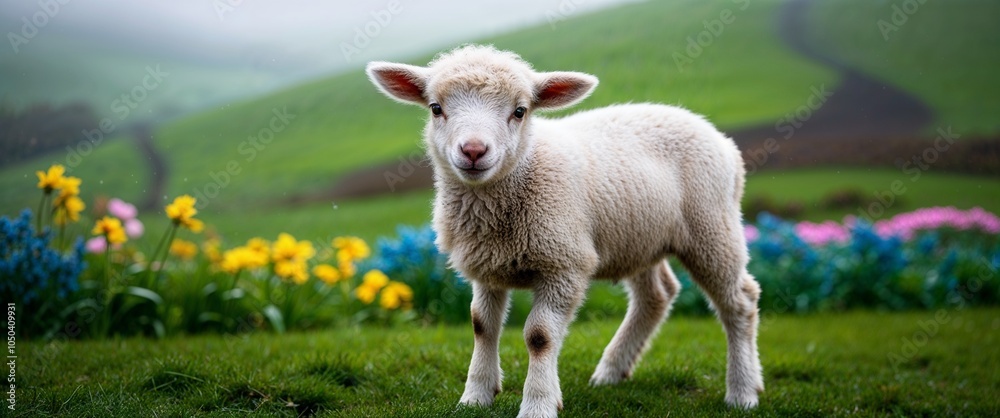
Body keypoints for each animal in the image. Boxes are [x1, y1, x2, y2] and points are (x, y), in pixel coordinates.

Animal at [366, 44, 763, 417]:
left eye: (520, 111)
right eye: (436, 108)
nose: (474, 150)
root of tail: (717, 136)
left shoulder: (564, 264)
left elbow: (540, 336)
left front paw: (538, 405)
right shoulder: (487, 266)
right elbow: (482, 326)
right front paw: (475, 396)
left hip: (711, 226)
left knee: (740, 300)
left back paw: (743, 390)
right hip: (637, 236)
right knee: (657, 295)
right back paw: (611, 371)